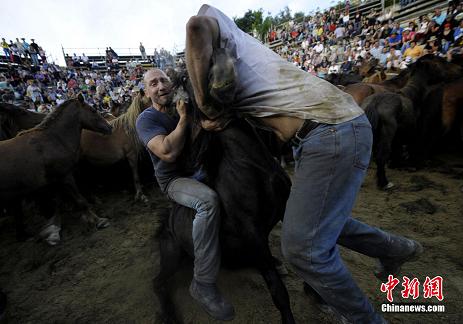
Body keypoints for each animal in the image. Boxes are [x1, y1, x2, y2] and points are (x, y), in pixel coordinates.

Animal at [0, 95, 112, 244]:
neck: (51, 140)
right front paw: (97, 220)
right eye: (93, 110)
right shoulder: (65, 177)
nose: (110, 127)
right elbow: (80, 200)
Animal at [154, 74, 296, 324]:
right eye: (187, 78)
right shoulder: (252, 232)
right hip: (172, 255)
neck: (253, 166)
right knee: (158, 283)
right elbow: (277, 290)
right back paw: (170, 315)